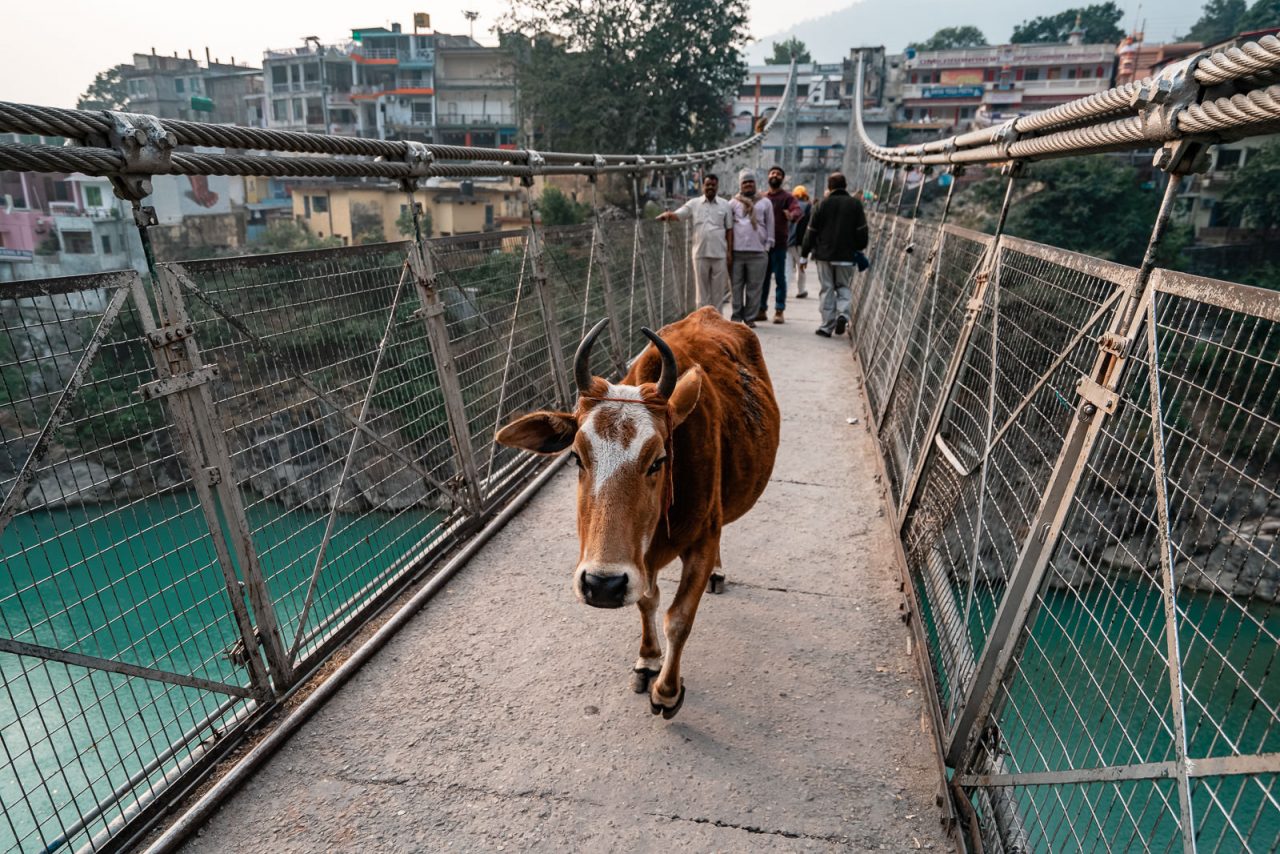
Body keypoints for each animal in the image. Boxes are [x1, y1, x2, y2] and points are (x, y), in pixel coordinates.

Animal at [495, 306, 780, 718]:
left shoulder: (702, 540)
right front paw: (647, 660)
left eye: (658, 459)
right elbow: (648, 599)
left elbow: (678, 618)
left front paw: (667, 692)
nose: (602, 585)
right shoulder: (640, 559)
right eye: (576, 456)